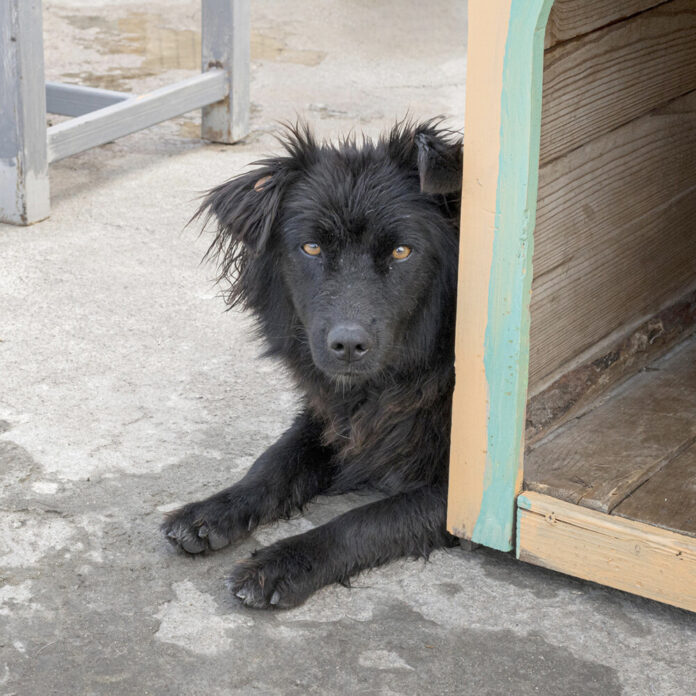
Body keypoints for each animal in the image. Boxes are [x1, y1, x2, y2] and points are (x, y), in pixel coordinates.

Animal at [162, 121, 462, 608]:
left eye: (401, 252)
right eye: (312, 247)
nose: (348, 344)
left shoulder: (469, 496)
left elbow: (361, 521)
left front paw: (280, 564)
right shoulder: (330, 418)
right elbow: (274, 461)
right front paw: (215, 509)